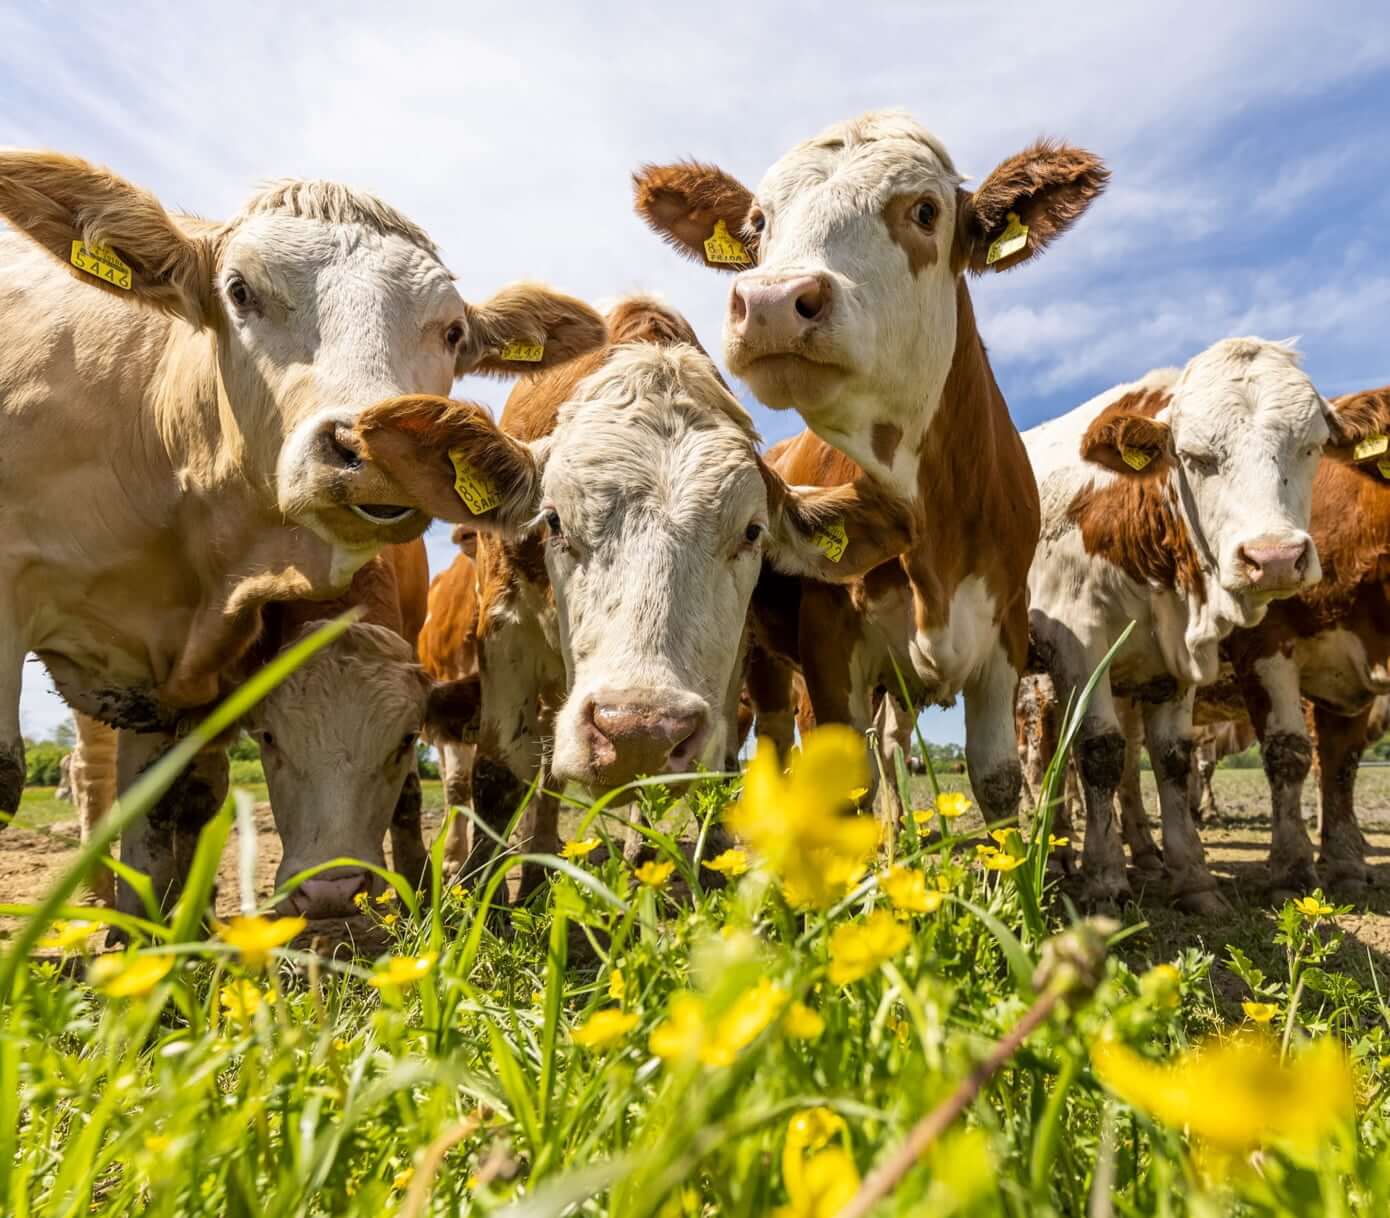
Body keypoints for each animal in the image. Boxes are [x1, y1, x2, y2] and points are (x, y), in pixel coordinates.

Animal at [350, 297, 911, 895]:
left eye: (752, 532)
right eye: (552, 520)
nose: (640, 731)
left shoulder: (733, 658)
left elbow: (715, 767)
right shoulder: (503, 633)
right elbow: (499, 776)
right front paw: (486, 897)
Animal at [633, 107, 1106, 828]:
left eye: (925, 211)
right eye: (758, 223)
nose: (771, 302)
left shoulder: (1004, 635)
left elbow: (997, 783)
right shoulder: (829, 651)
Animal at [1023, 342, 1390, 912]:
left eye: (1311, 447)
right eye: (1194, 456)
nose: (1274, 558)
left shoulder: (1176, 660)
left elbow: (1175, 759)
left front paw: (1193, 877)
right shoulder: (1080, 644)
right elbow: (1099, 752)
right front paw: (1104, 878)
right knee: (1044, 755)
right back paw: (1054, 849)